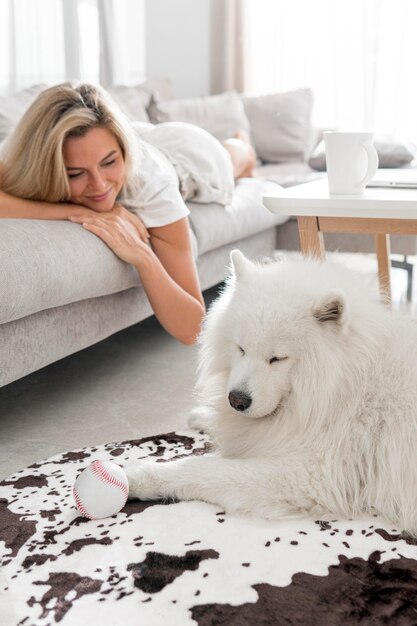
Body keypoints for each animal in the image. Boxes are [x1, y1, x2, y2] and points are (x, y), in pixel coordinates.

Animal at [126, 251, 416, 532]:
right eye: (241, 349)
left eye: (277, 358)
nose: (236, 400)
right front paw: (204, 416)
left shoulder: (312, 473)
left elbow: (201, 466)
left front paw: (135, 475)